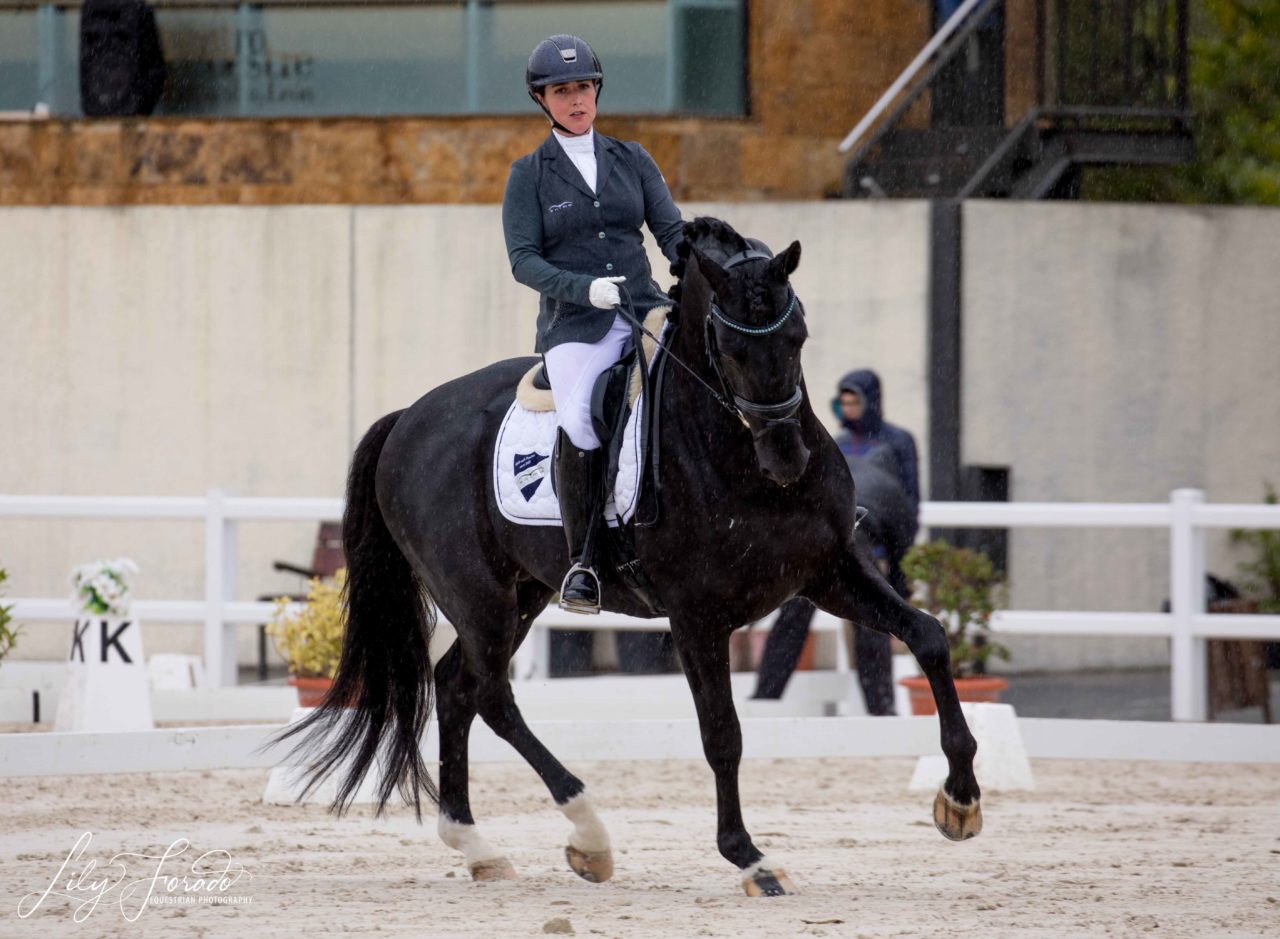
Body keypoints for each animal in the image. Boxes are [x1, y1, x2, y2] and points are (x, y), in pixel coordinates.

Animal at [270, 218, 977, 895]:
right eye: (729, 349)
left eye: (799, 335)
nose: (787, 459)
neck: (734, 456)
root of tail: (409, 418)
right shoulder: (696, 617)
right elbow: (722, 733)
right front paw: (750, 859)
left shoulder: (829, 572)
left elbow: (929, 636)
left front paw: (961, 801)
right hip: (477, 595)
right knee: (492, 695)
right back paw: (588, 834)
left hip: (522, 594)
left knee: (456, 686)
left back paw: (478, 847)